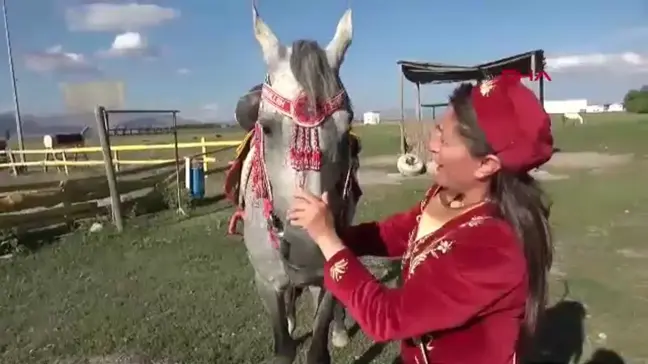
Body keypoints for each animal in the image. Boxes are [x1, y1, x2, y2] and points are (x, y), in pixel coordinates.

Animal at [233, 3, 356, 364]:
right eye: (266, 127)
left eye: (347, 128)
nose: (306, 251)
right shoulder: (265, 281)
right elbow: (284, 348)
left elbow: (318, 342)